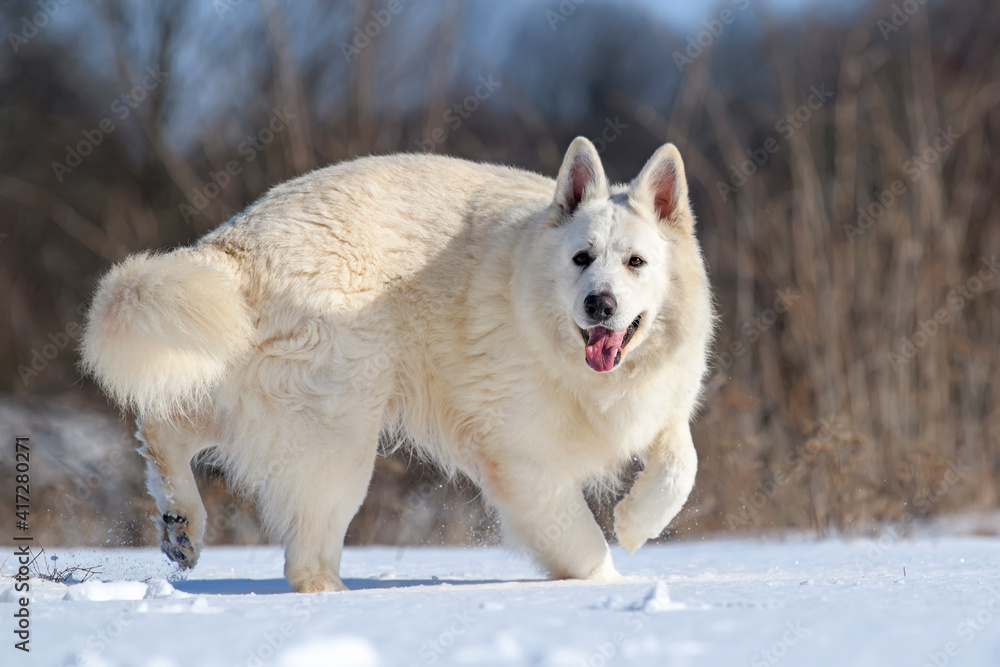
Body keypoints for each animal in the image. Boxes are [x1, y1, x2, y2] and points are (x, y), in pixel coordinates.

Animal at [82, 138, 716, 592]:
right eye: (582, 258)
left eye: (636, 262)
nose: (599, 304)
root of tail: (235, 246)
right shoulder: (522, 458)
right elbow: (582, 543)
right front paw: (611, 587)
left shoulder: (655, 405)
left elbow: (682, 461)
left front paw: (636, 522)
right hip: (339, 433)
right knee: (303, 555)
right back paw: (337, 599)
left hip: (252, 391)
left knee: (161, 425)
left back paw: (181, 525)